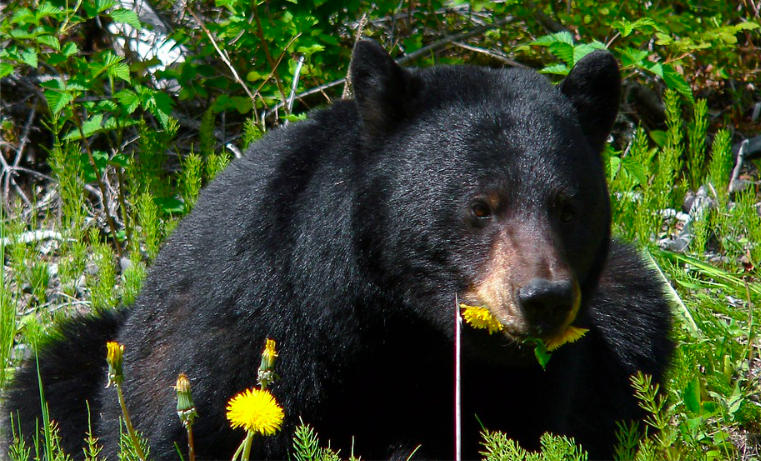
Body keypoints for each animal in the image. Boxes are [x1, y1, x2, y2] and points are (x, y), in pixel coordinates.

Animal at [4, 40, 672, 460]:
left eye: (568, 207)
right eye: (481, 206)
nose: (544, 298)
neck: (394, 322)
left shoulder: (524, 380)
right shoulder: (249, 319)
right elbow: (194, 424)